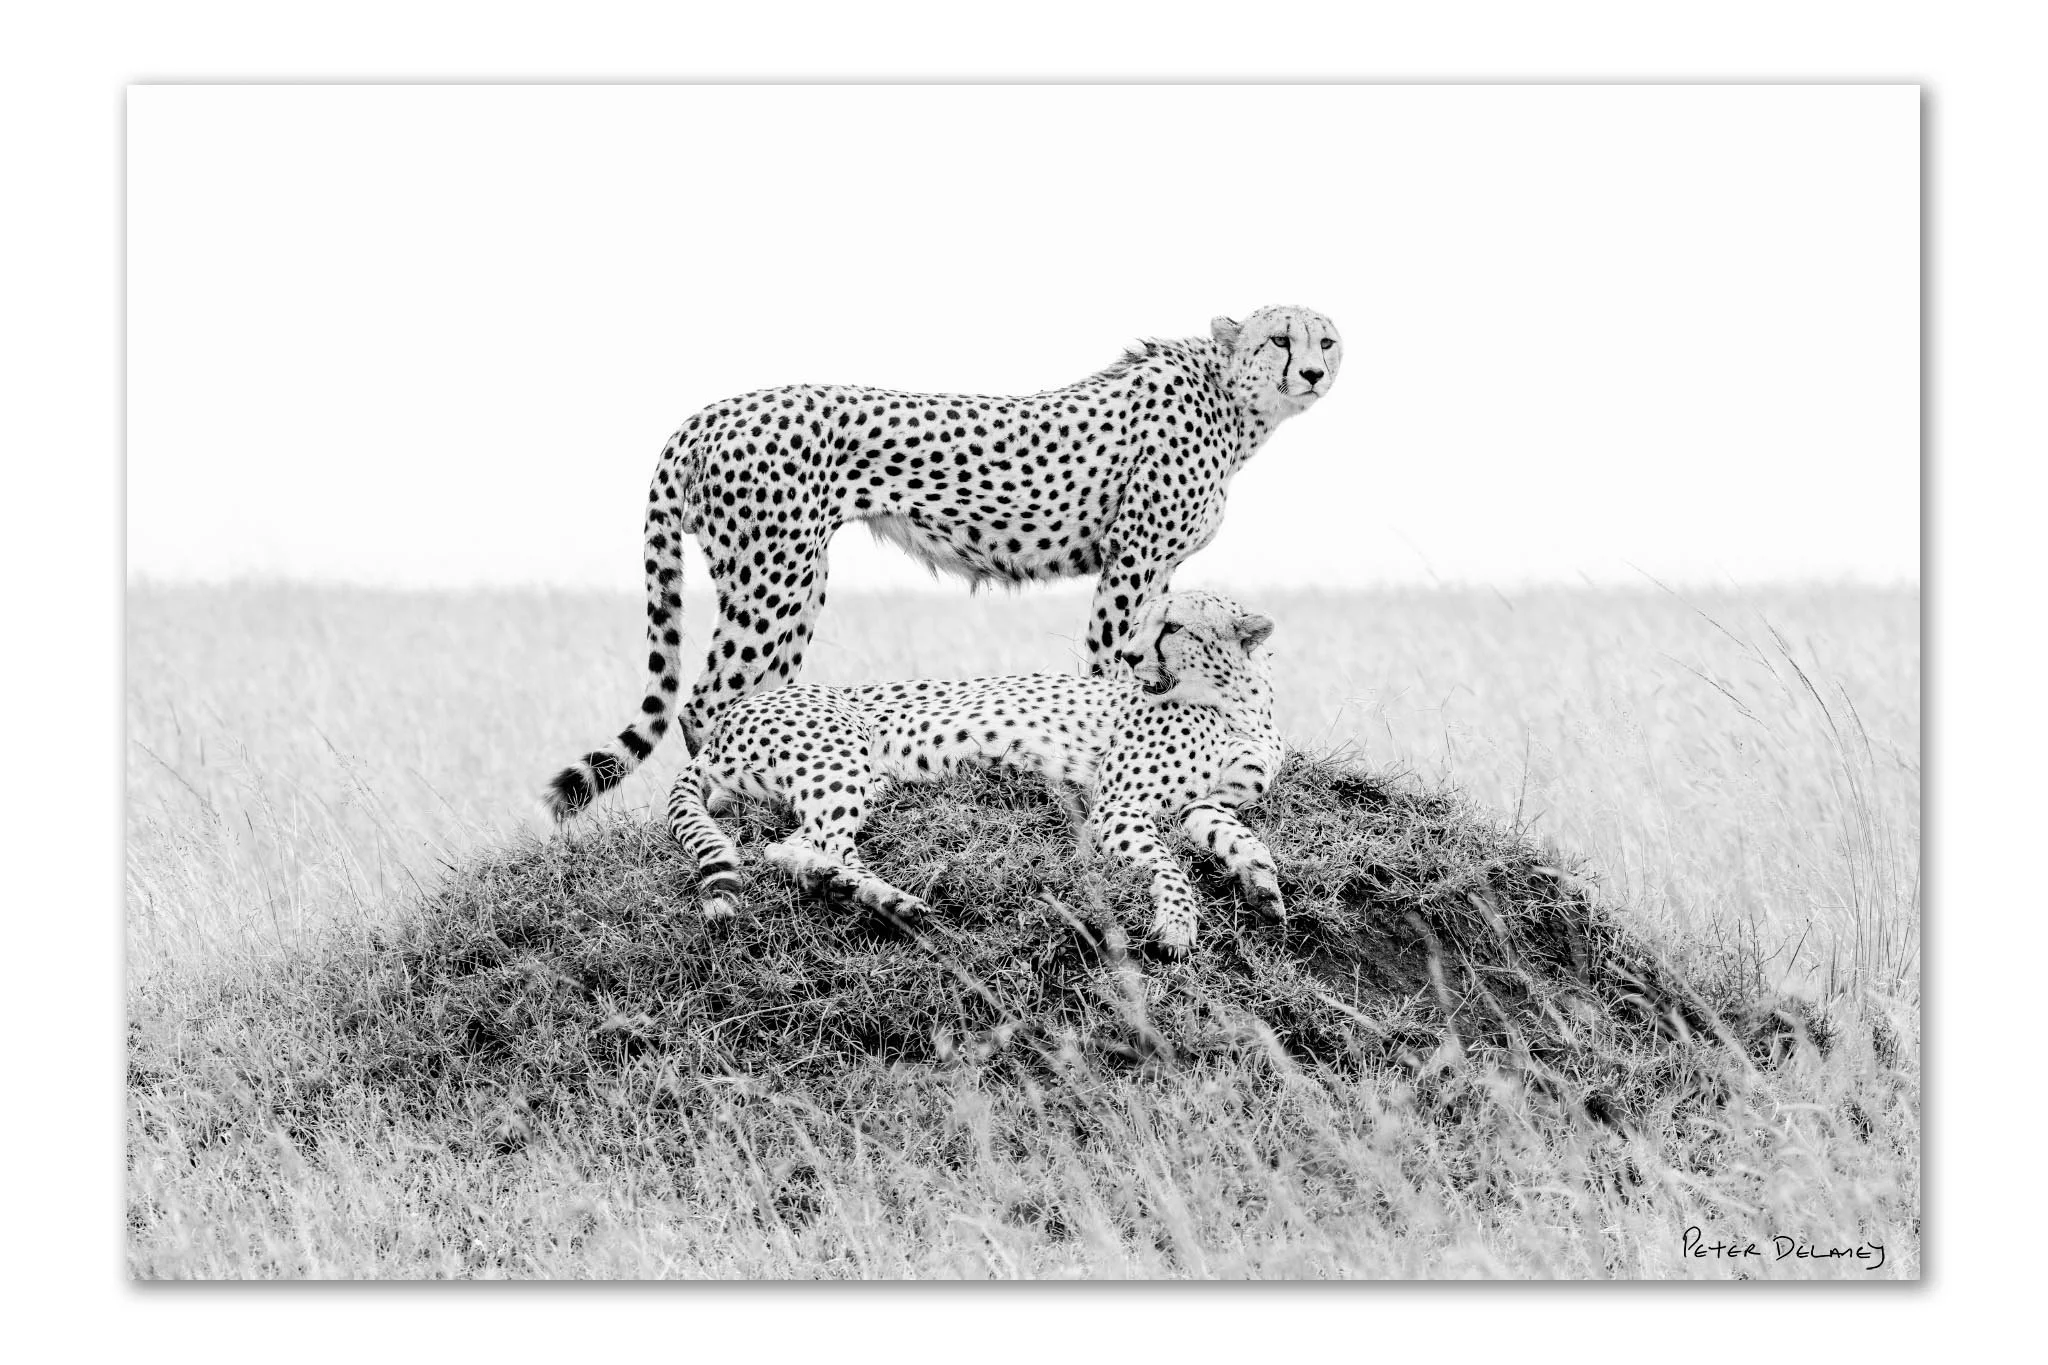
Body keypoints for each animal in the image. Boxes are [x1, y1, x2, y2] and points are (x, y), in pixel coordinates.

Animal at [543, 305, 1339, 820]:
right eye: (1279, 337)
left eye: (1327, 339)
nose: (1312, 371)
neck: (1231, 399)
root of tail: (706, 412)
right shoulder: (1133, 561)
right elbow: (1114, 661)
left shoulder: (1158, 568)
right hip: (776, 573)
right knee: (707, 699)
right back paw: (726, 802)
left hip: (792, 579)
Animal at [665, 589, 1286, 955]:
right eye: (1142, 624)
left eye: (1173, 626)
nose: (1130, 658)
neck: (1236, 703)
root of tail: (725, 719)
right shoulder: (1119, 806)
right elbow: (1171, 869)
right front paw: (1178, 926)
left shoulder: (1208, 803)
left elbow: (1243, 838)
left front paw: (1262, 885)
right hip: (842, 759)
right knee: (803, 844)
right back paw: (879, 896)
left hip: (867, 779)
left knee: (801, 846)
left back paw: (852, 888)